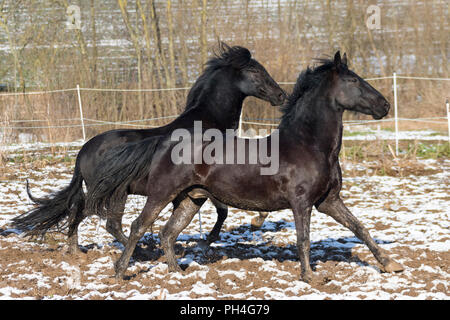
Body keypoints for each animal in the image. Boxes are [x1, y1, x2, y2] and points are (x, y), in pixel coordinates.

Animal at [11, 43, 284, 252]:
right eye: (255, 70)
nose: (281, 95)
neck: (205, 123)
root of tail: (83, 152)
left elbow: (217, 212)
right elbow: (223, 211)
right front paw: (217, 237)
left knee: (77, 214)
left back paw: (75, 252)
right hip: (116, 193)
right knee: (108, 223)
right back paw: (142, 250)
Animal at [86, 51, 402, 282]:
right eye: (353, 81)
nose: (385, 106)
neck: (310, 146)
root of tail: (163, 141)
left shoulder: (329, 200)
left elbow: (360, 228)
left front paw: (391, 264)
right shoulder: (301, 203)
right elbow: (304, 239)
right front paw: (310, 277)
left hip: (190, 199)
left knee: (167, 232)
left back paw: (177, 273)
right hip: (161, 194)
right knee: (139, 226)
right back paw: (120, 272)